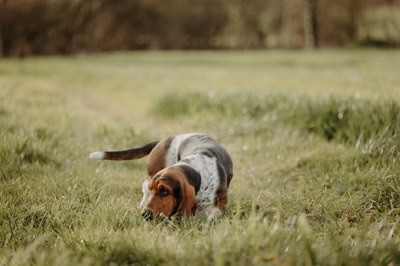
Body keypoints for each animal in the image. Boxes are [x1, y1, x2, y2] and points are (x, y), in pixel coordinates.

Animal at [90, 133, 234, 220]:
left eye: (165, 192)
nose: (145, 214)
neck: (196, 170)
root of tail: (165, 139)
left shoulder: (220, 201)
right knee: (144, 185)